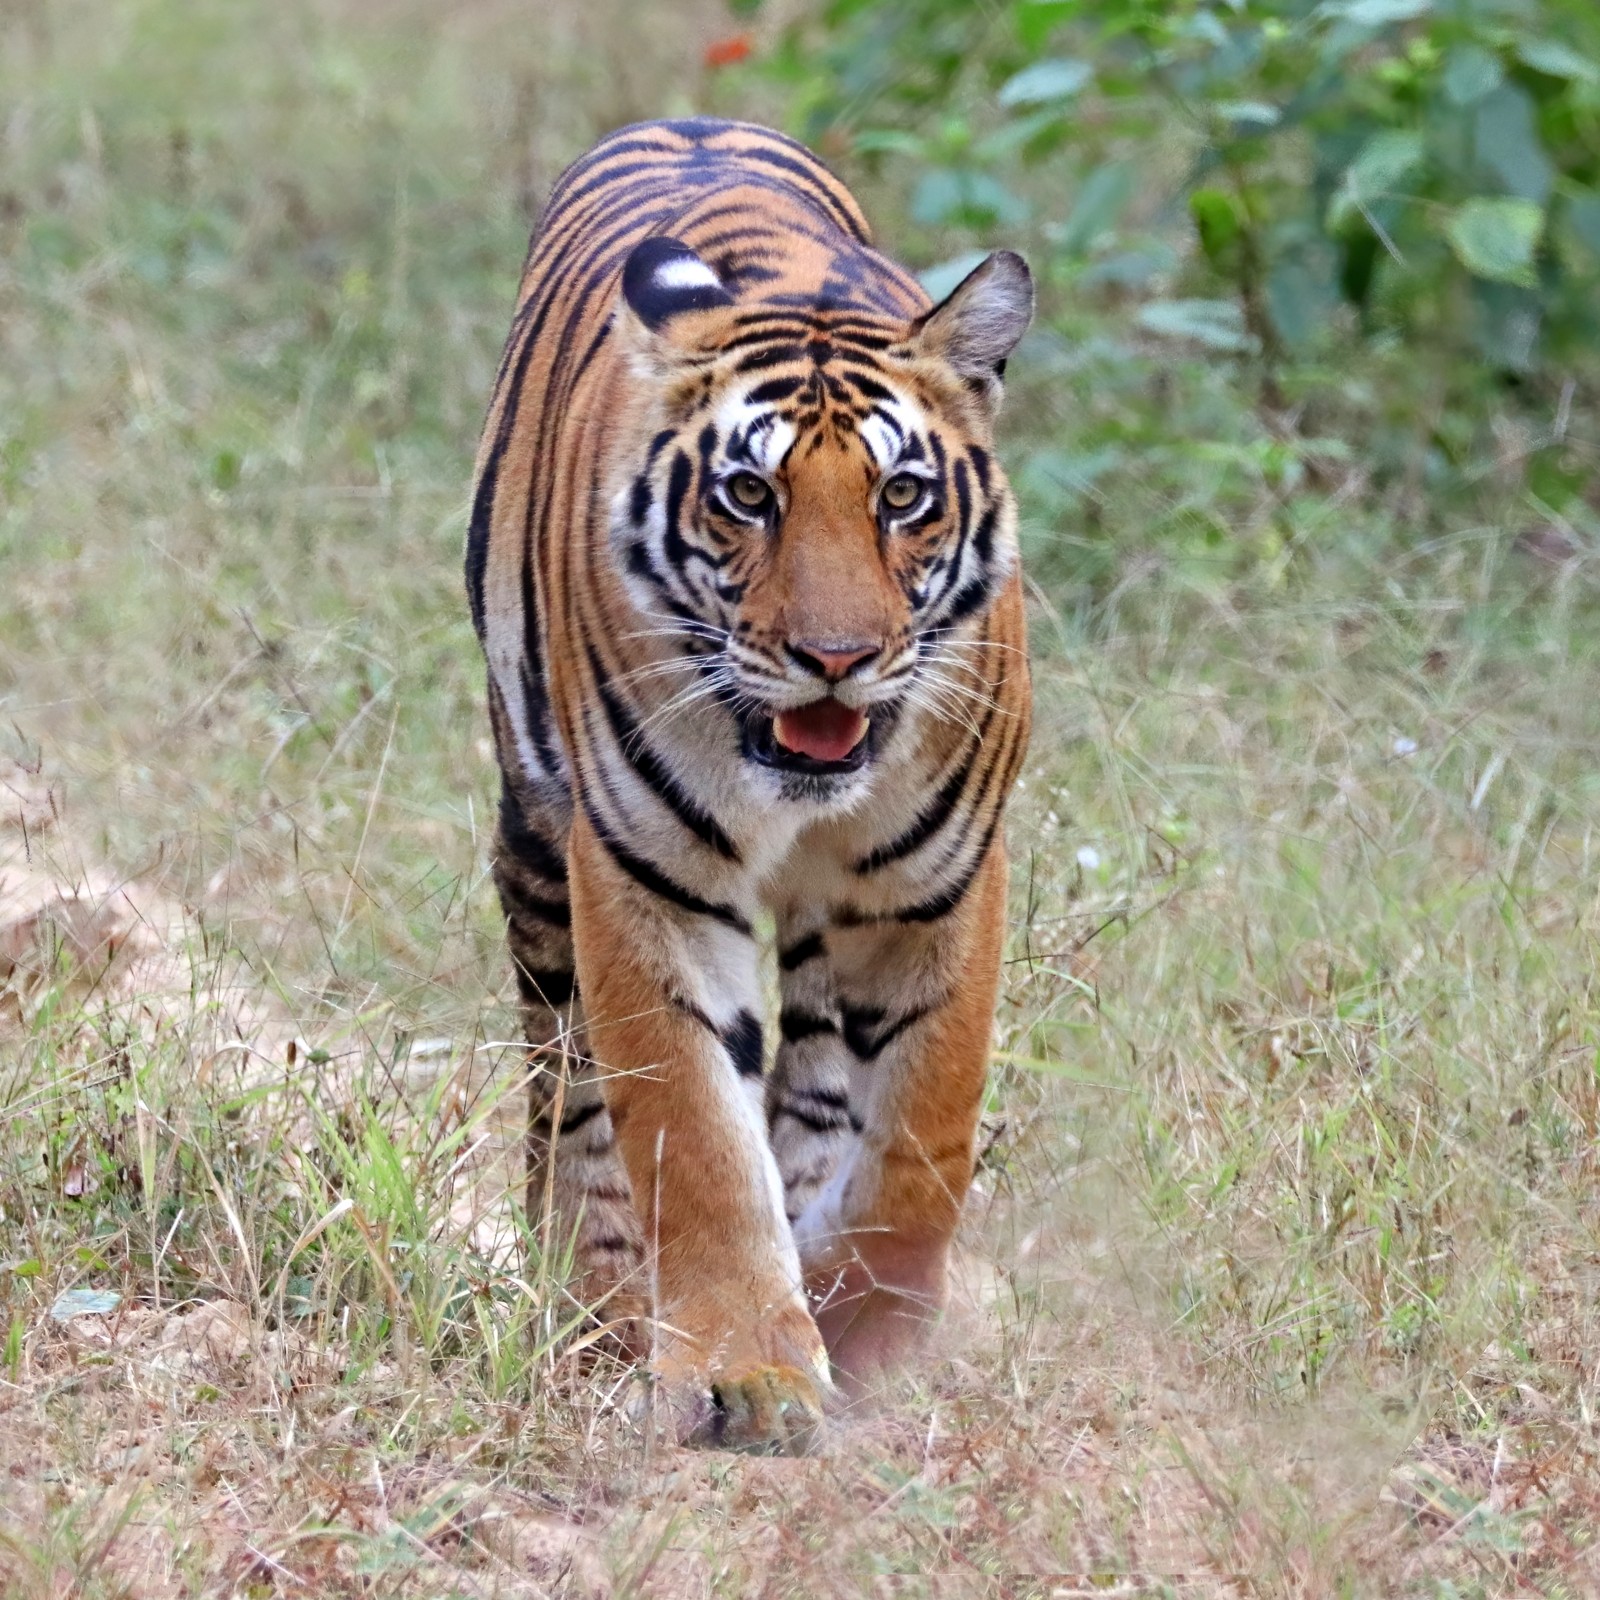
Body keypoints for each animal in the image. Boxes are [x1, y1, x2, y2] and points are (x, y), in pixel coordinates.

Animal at [464, 118, 1036, 1459]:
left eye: (901, 496)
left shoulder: (937, 884)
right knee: (566, 1086)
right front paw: (749, 1372)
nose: (836, 656)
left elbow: (923, 1131)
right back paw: (602, 1297)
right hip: (536, 843)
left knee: (821, 1078)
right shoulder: (647, 877)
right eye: (748, 494)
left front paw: (865, 1328)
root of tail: (685, 122)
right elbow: (692, 1132)